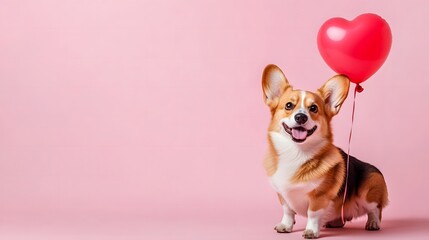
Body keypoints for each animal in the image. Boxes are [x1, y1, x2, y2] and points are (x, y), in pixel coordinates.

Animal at [260, 64, 388, 238]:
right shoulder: (282, 195)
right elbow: (287, 212)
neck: (295, 153)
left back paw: (373, 223)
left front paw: (311, 231)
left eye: (313, 108)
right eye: (289, 105)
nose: (301, 117)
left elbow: (313, 214)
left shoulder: (319, 197)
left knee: (375, 210)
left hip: (368, 192)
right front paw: (286, 226)